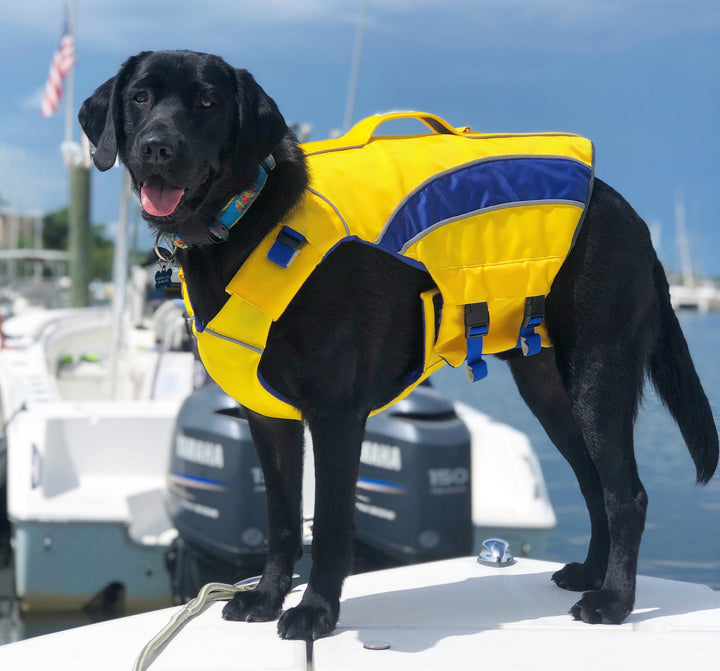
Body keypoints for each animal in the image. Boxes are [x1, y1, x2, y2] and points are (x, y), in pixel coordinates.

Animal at [80, 48, 716, 640]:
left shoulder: (335, 413)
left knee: (626, 494)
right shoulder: (268, 419)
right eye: (139, 98)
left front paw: (315, 612)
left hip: (597, 375)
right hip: (550, 391)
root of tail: (628, 214)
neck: (244, 222)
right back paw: (589, 573)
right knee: (594, 483)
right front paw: (265, 598)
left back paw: (613, 601)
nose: (157, 147)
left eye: (208, 102)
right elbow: (282, 519)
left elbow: (328, 523)